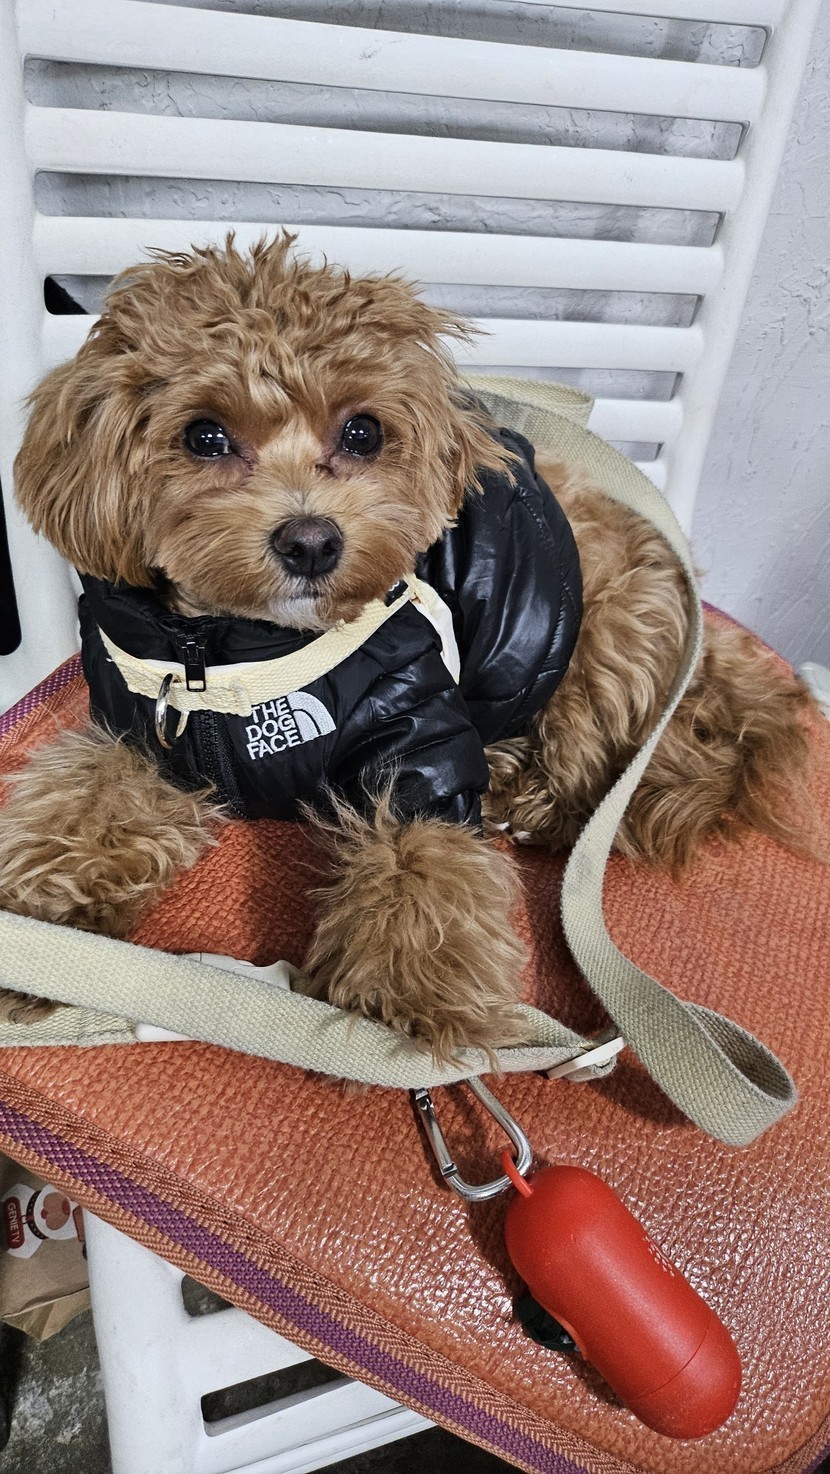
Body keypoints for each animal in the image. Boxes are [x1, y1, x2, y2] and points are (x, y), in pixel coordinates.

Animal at [0, 236, 816, 1060]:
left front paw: (407, 983)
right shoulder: (137, 724)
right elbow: (86, 800)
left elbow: (425, 848)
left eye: (363, 432)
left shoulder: (417, 729)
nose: (311, 541)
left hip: (601, 635)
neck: (233, 659)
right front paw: (41, 919)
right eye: (203, 435)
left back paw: (525, 794)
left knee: (602, 767)